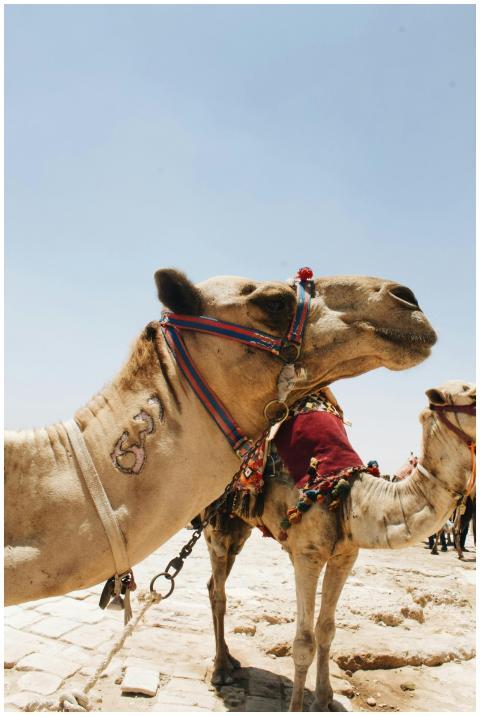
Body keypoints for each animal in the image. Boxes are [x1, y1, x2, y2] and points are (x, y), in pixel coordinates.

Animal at [204, 380, 475, 711]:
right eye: (472, 396)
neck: (344, 495)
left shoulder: (345, 555)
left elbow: (327, 630)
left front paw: (323, 700)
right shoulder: (306, 555)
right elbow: (303, 642)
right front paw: (297, 707)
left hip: (239, 523)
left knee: (214, 581)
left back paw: (231, 660)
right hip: (216, 518)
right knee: (219, 591)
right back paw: (220, 671)